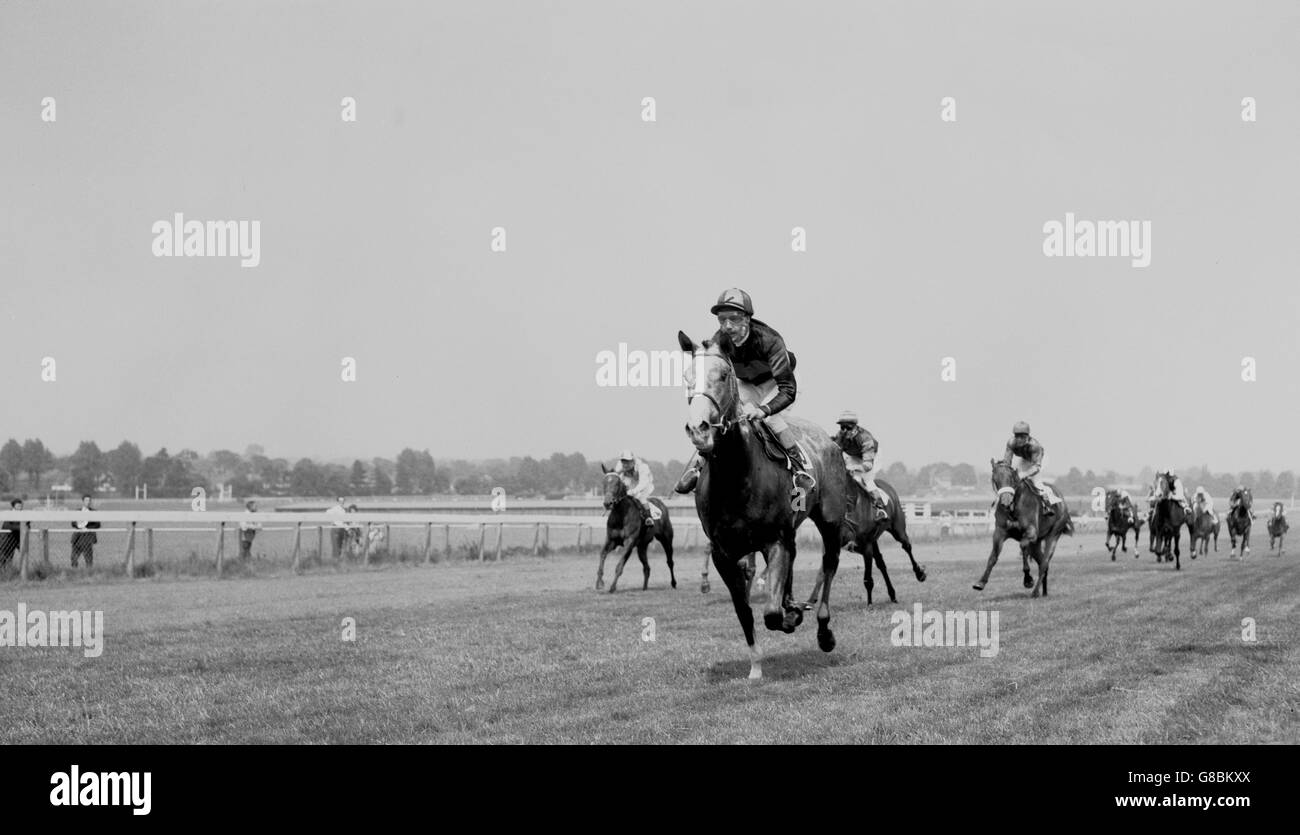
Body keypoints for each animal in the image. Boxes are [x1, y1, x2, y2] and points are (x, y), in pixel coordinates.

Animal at [598, 463, 681, 593]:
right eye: (604, 482)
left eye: (618, 483)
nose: (608, 503)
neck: (621, 516)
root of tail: (661, 503)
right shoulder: (611, 540)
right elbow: (602, 555)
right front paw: (599, 582)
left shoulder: (629, 542)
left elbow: (619, 565)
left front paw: (612, 587)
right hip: (642, 546)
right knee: (647, 567)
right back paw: (644, 588)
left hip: (666, 539)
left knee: (670, 561)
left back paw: (673, 583)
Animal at [676, 327, 847, 681]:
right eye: (686, 377)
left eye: (723, 375)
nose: (699, 430)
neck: (735, 476)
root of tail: (827, 439)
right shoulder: (724, 554)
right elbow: (744, 611)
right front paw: (755, 666)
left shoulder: (774, 541)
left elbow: (770, 612)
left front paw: (790, 616)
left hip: (830, 521)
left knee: (829, 565)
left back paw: (823, 631)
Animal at [800, 473, 925, 603]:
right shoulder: (832, 546)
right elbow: (821, 574)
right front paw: (811, 600)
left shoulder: (866, 547)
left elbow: (868, 579)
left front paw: (869, 604)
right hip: (875, 541)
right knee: (881, 562)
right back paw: (892, 594)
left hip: (898, 529)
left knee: (906, 546)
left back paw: (919, 574)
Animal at [977, 457, 1076, 595]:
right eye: (995, 479)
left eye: (1011, 478)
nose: (1005, 502)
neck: (1014, 508)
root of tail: (1062, 501)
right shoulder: (1000, 532)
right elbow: (993, 556)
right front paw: (981, 582)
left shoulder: (1031, 533)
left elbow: (1023, 546)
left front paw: (1028, 580)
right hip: (1036, 544)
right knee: (1042, 563)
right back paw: (1043, 592)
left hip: (1053, 534)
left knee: (1044, 563)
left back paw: (1035, 592)